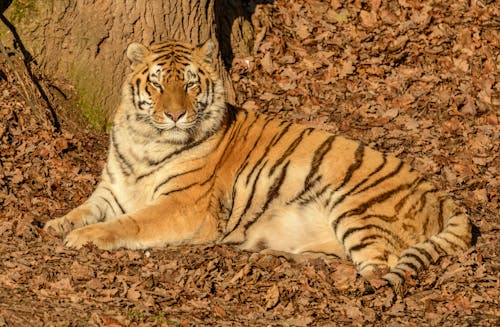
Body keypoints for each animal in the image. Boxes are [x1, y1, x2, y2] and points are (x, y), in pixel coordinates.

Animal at [44, 38, 472, 292]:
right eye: (157, 84)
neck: (145, 138)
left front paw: (86, 237)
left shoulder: (184, 205)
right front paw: (55, 225)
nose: (176, 115)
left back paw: (352, 285)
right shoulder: (112, 190)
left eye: (190, 84)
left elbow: (131, 223)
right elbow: (83, 209)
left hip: (355, 205)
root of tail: (444, 197)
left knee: (382, 267)